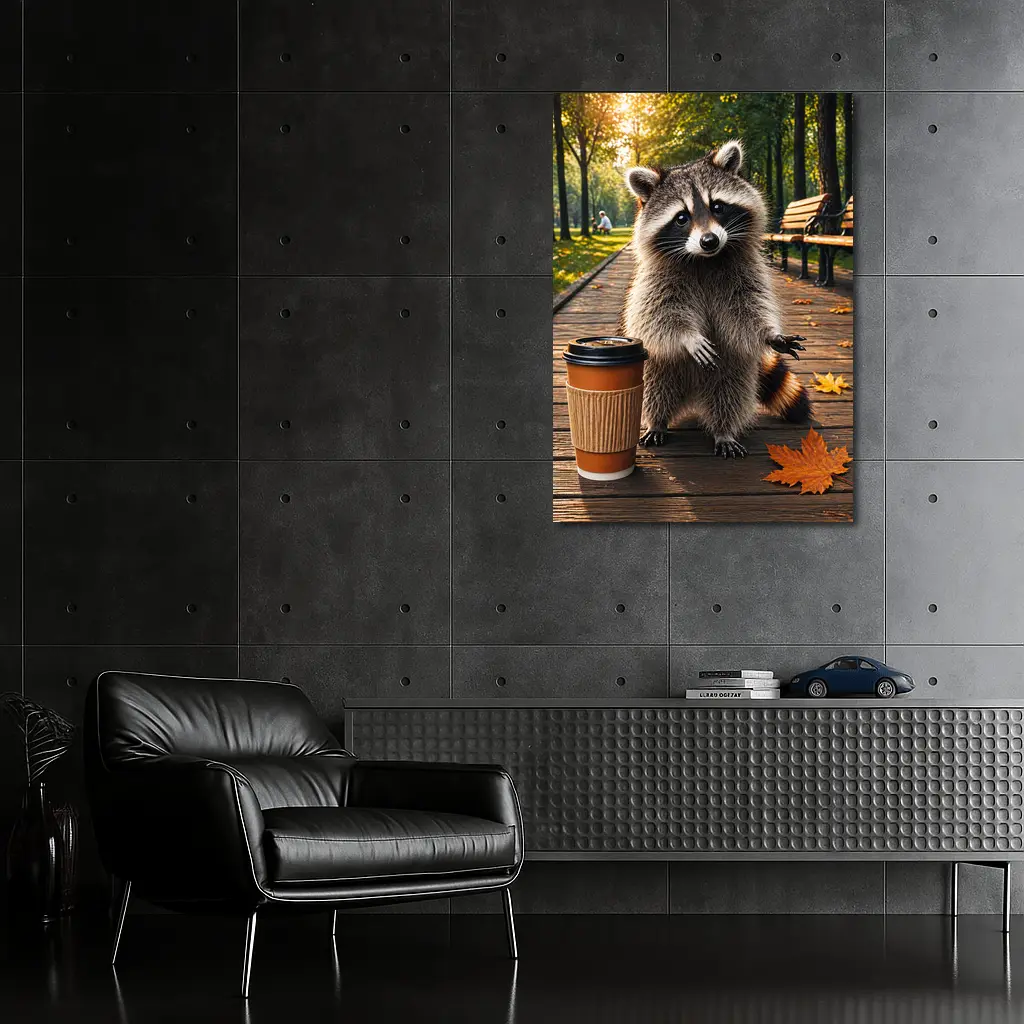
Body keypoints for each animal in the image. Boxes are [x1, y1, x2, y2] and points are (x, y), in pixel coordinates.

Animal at [620, 140, 810, 458]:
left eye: (718, 207)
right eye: (681, 217)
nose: (709, 241)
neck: (704, 260)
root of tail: (694, 395)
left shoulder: (744, 272)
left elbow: (748, 308)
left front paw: (770, 333)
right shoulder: (655, 281)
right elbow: (658, 316)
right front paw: (688, 337)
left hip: (734, 367)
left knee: (730, 393)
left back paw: (724, 430)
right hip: (660, 365)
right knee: (655, 386)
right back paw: (657, 421)